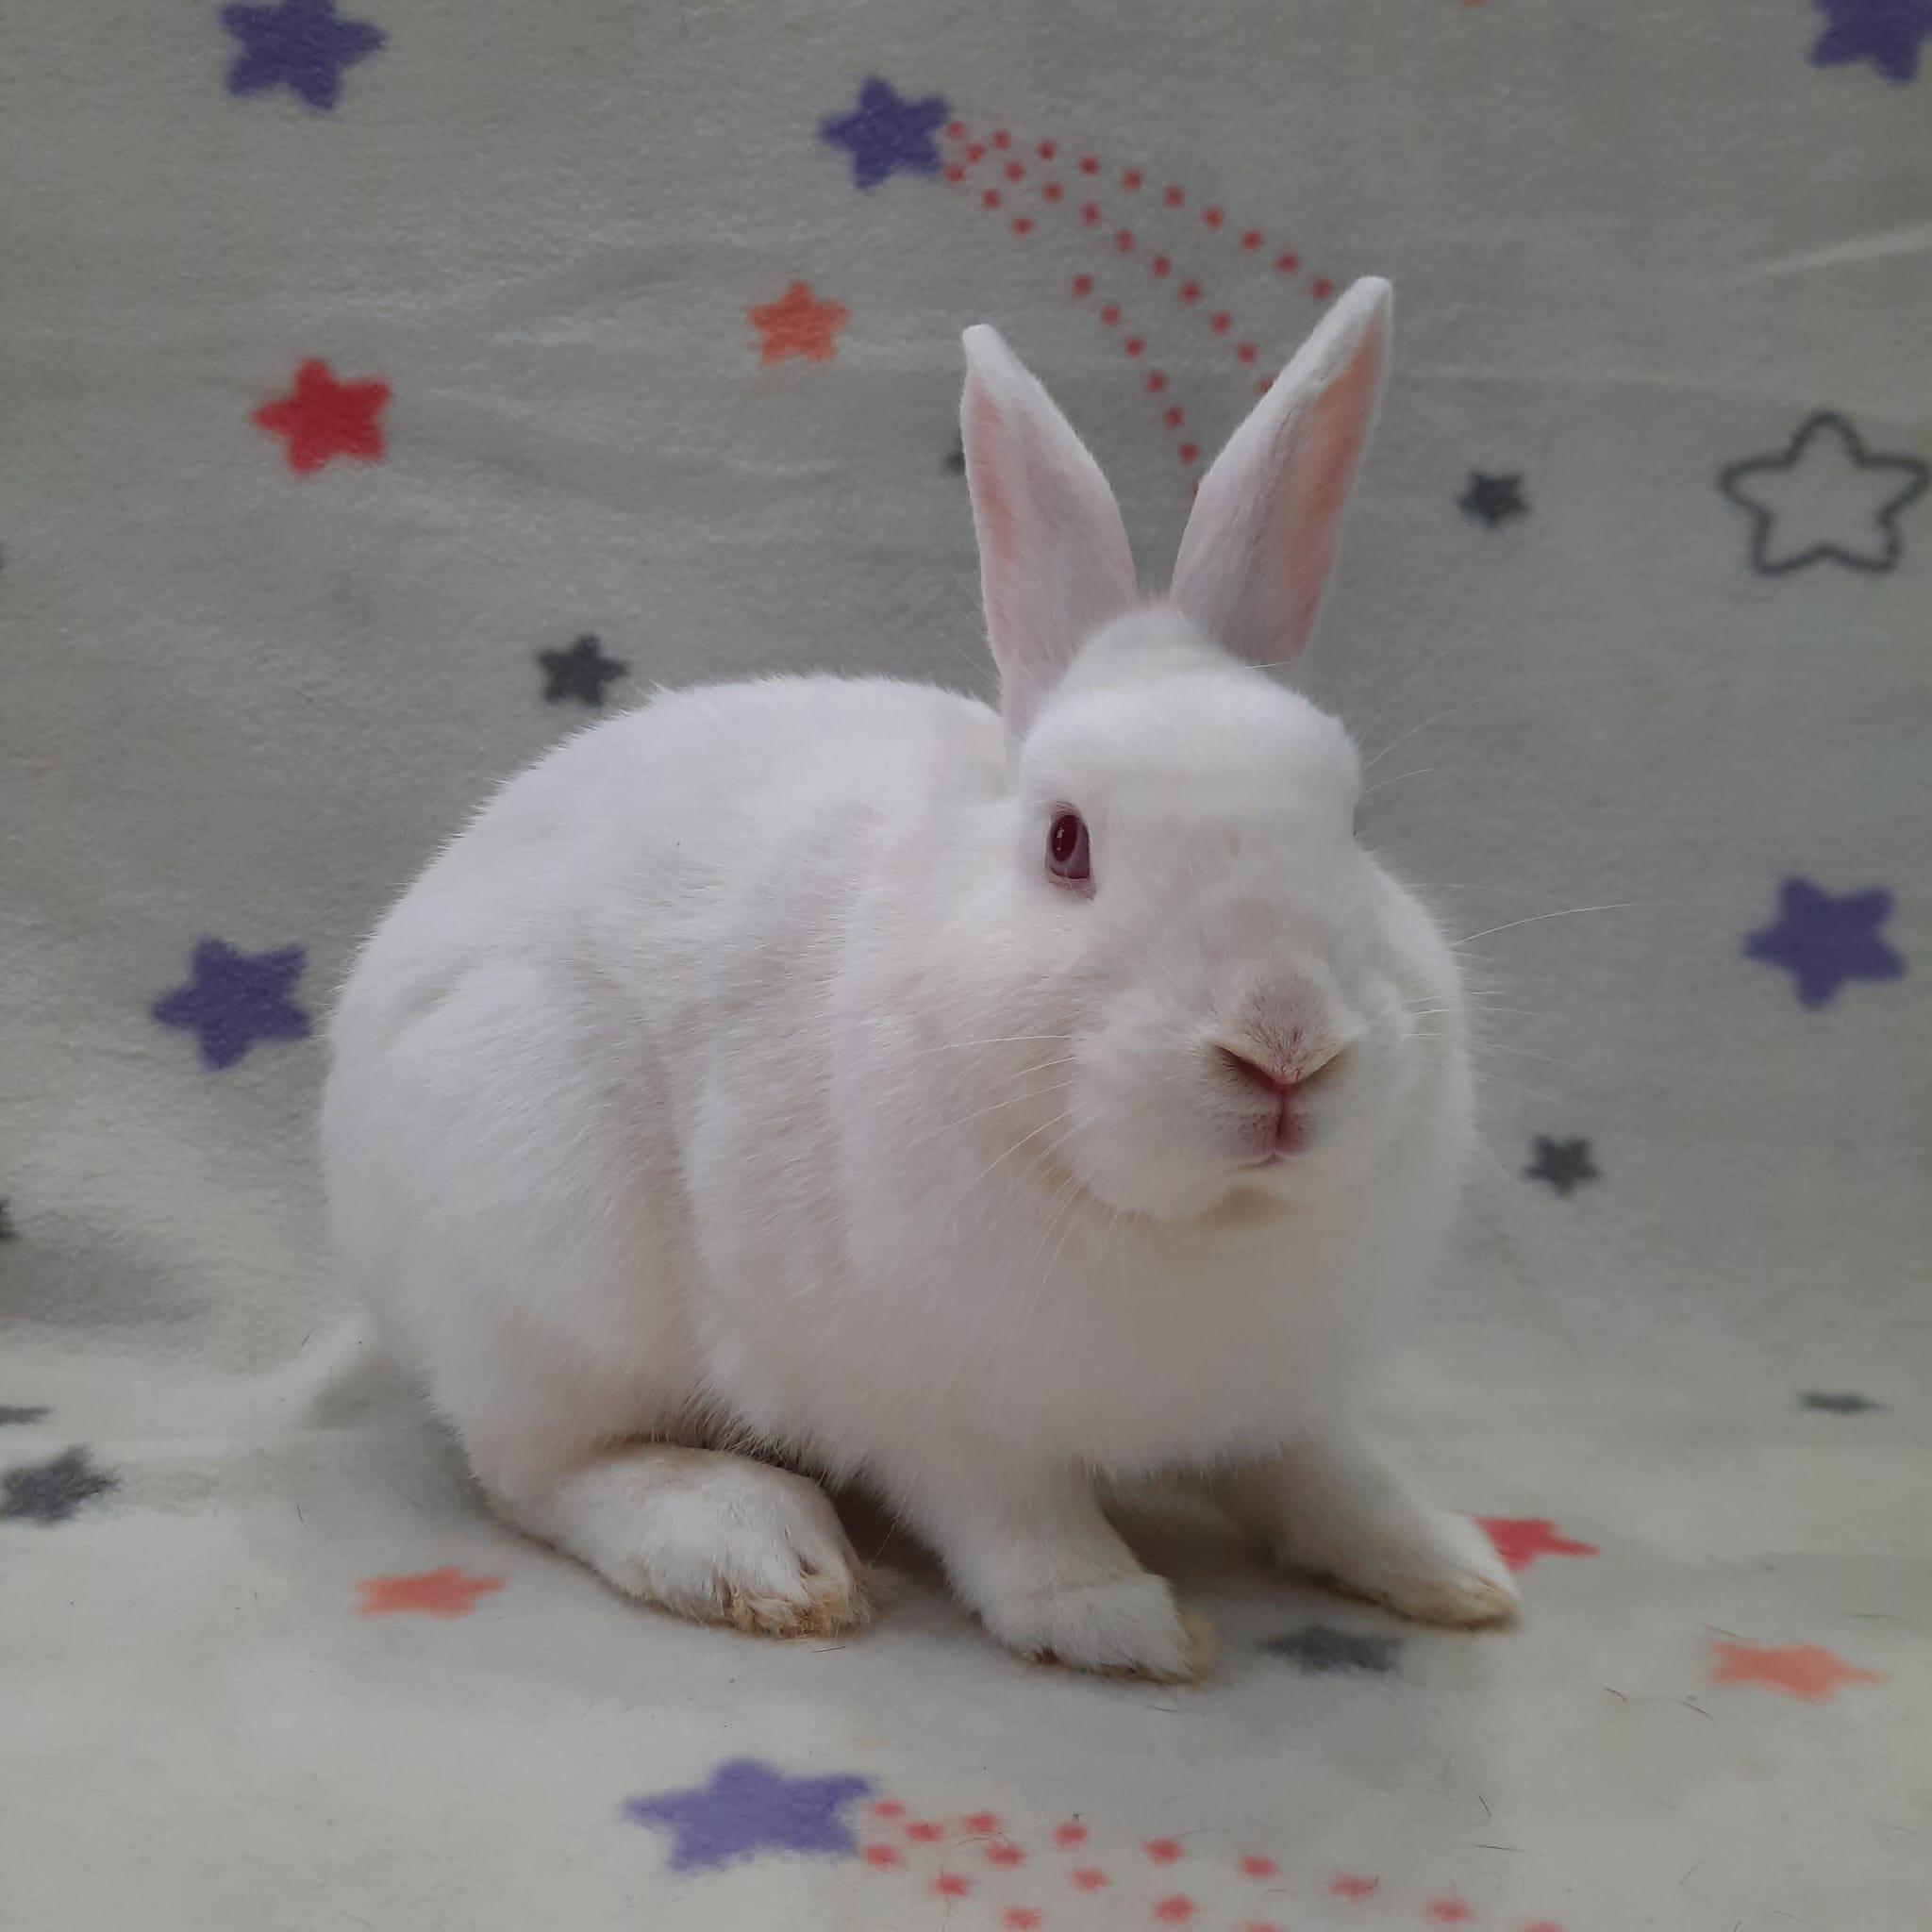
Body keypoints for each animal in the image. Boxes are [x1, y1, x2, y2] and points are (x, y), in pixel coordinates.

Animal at [320, 276, 1517, 1680]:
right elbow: (1015, 1516)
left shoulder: (1286, 1398)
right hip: (544, 1257)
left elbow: (1326, 1475)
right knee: (538, 1469)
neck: (1202, 1224)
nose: (1283, 1042)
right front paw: (1120, 1620)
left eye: (1356, 823)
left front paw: (1448, 1564)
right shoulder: (930, 1408)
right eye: (1066, 844)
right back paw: (752, 1544)